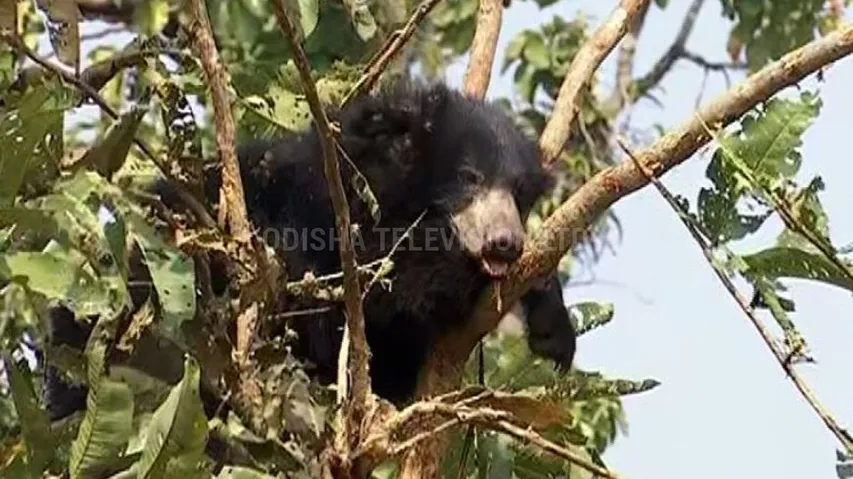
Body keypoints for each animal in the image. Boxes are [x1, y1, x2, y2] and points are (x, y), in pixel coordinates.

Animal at [42, 78, 577, 417]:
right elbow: (347, 295)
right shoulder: (315, 207)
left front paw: (553, 329)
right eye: (469, 177)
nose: (505, 244)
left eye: (520, 193)